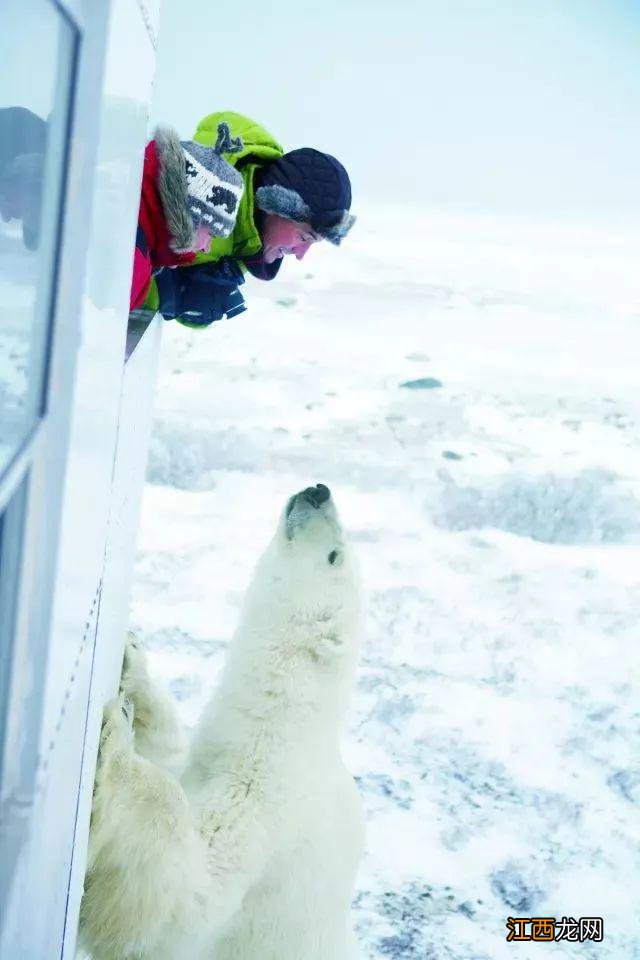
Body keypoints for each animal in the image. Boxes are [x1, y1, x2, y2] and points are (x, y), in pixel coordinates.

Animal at [79, 488, 364, 960]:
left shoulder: (266, 809)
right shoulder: (206, 758)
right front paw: (131, 663)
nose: (318, 491)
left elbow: (191, 901)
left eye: (335, 556)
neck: (274, 729)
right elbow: (172, 752)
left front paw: (116, 753)